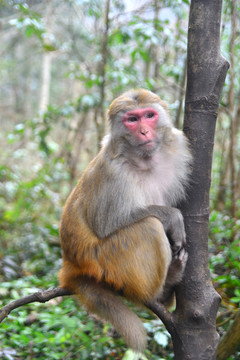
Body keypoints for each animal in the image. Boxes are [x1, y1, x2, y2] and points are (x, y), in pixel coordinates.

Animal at [58, 88, 193, 352]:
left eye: (149, 116)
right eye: (132, 120)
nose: (144, 132)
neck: (143, 161)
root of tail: (72, 265)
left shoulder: (176, 152)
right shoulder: (113, 172)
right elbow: (108, 223)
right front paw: (173, 217)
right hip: (107, 261)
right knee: (149, 226)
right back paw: (158, 290)